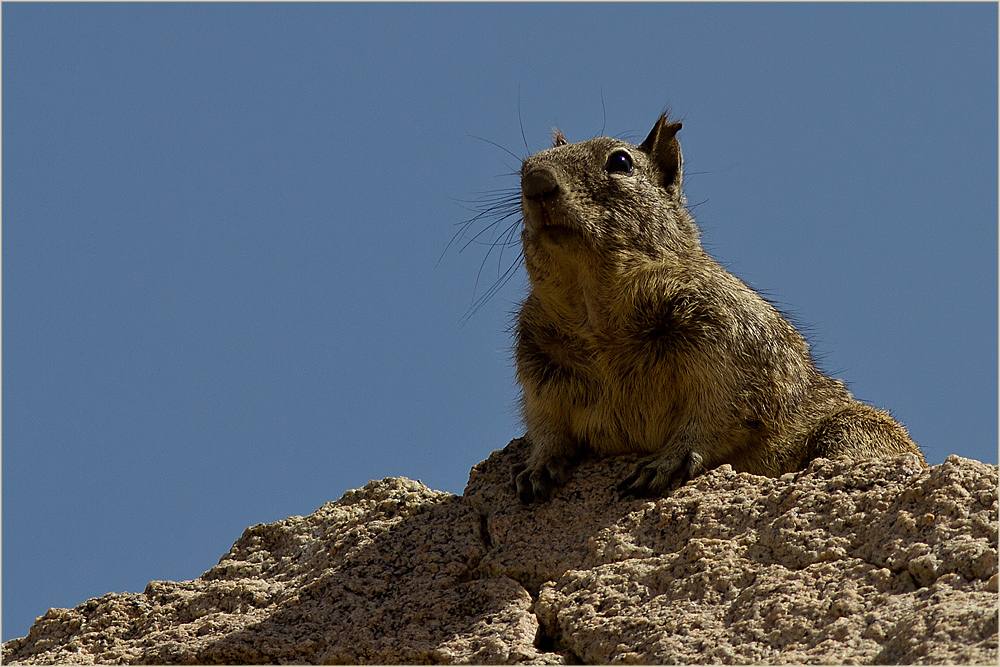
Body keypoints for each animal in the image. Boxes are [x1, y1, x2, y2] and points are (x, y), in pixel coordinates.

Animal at [512, 112, 924, 504]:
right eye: (524, 166)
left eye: (621, 161)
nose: (537, 182)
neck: (595, 312)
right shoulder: (539, 369)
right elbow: (546, 426)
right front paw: (537, 466)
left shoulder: (733, 347)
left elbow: (719, 415)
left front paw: (669, 460)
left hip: (857, 429)